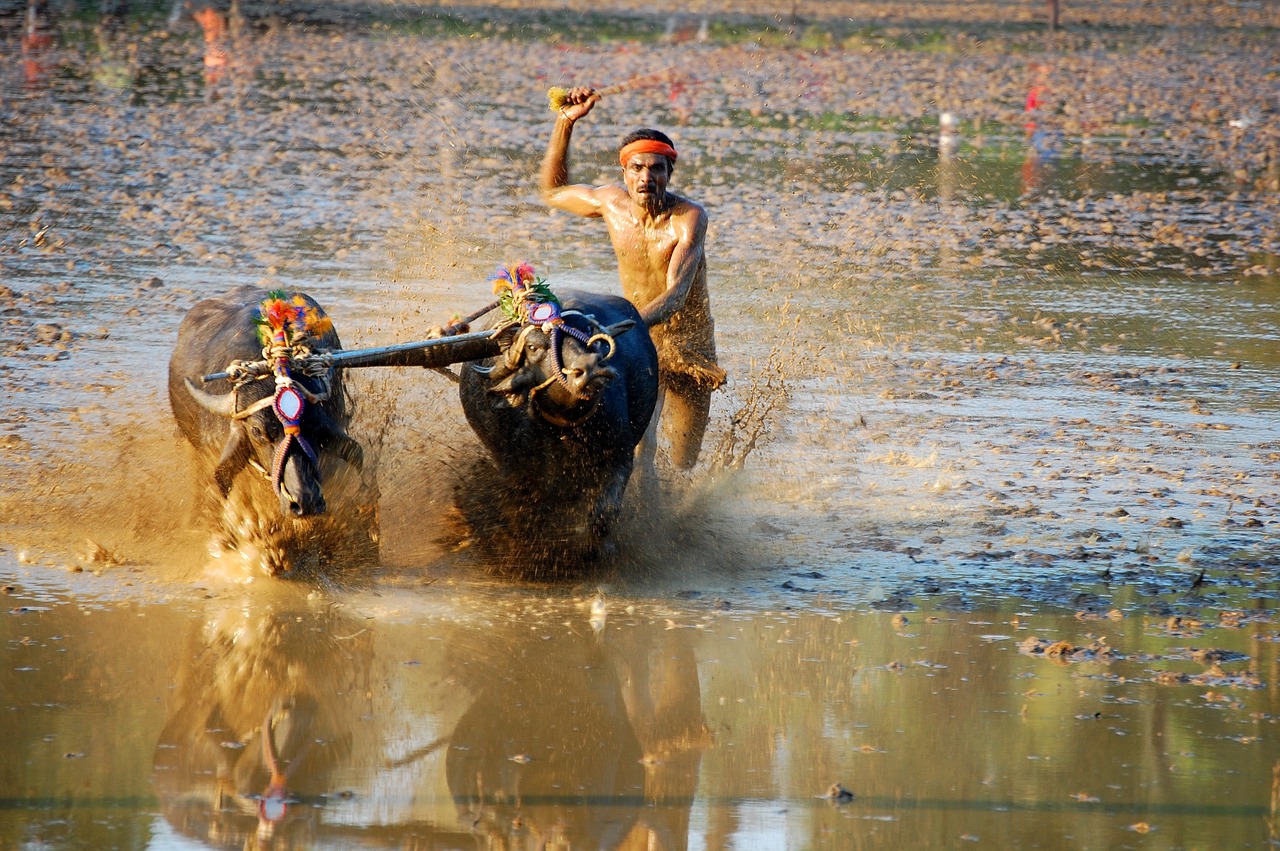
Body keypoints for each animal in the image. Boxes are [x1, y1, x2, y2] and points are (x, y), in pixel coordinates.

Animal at [458, 275, 655, 573]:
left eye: (589, 333)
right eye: (533, 347)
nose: (589, 369)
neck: (565, 431)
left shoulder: (619, 458)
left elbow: (602, 515)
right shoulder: (515, 471)